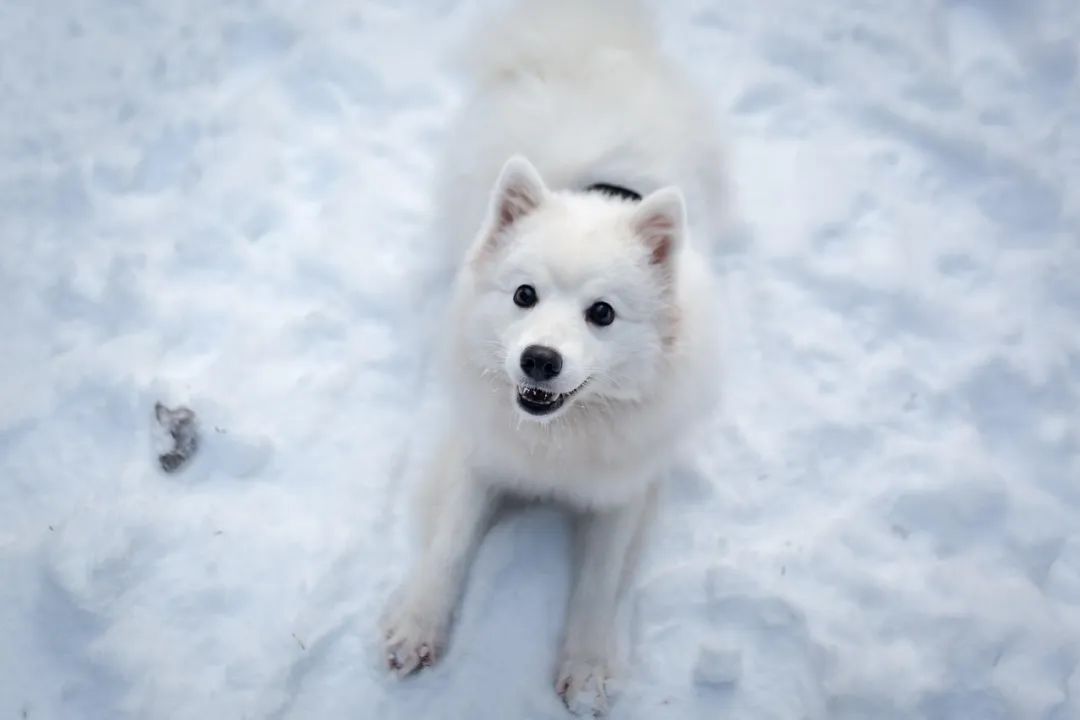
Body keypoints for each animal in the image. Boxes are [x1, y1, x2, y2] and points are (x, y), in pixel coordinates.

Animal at [382, 0, 725, 712]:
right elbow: (449, 544)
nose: (539, 360)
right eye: (524, 295)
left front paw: (588, 670)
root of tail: (589, 38)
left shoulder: (623, 491)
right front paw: (417, 626)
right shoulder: (478, 456)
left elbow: (598, 583)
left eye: (603, 313)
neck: (558, 436)